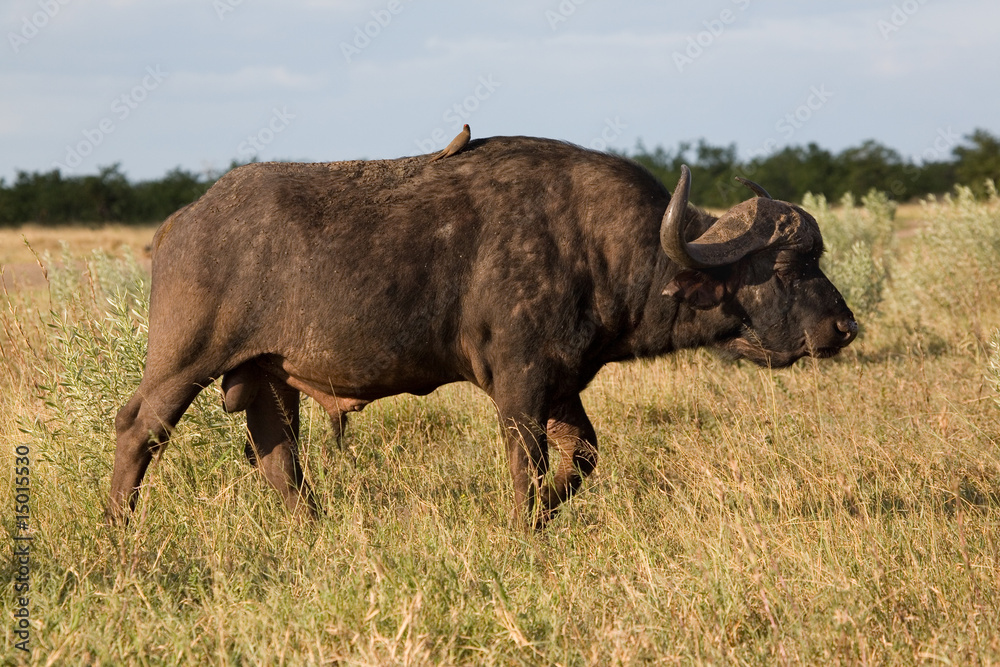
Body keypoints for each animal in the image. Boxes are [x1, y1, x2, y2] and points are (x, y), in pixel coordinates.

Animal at [111, 138, 860, 528]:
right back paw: (120, 528)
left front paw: (546, 516)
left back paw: (313, 527)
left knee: (278, 456)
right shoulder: (520, 386)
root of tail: (182, 223)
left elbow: (583, 457)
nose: (844, 327)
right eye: (789, 265)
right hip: (183, 362)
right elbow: (527, 464)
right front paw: (523, 527)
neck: (601, 247)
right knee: (138, 428)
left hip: (268, 377)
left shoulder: (562, 383)